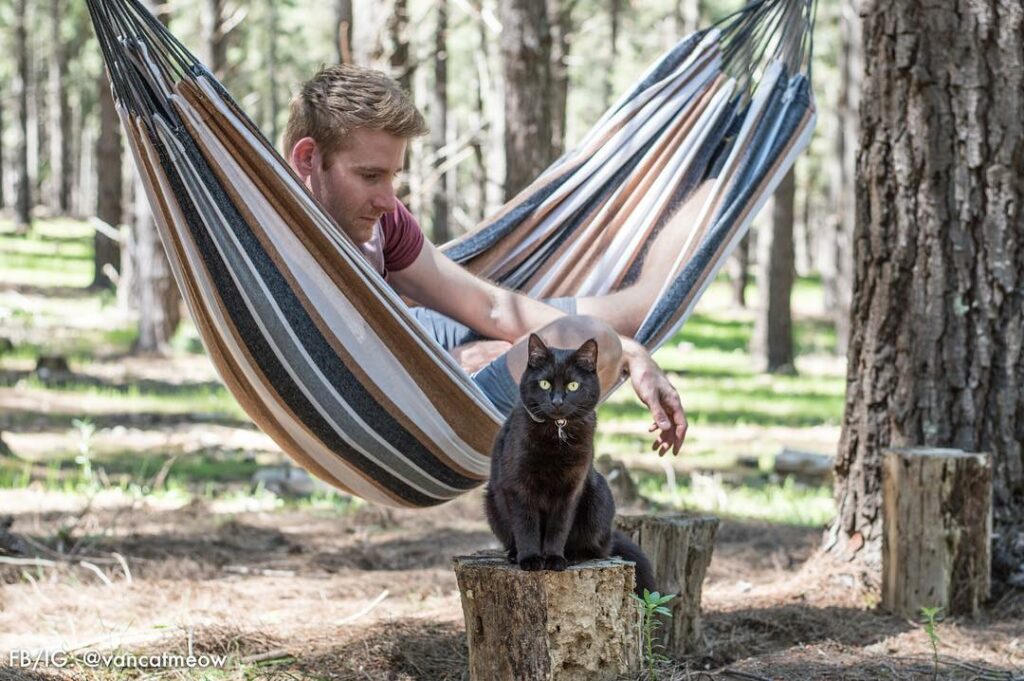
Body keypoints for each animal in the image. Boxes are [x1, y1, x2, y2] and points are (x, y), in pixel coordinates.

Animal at [481, 333, 655, 593]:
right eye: (544, 384)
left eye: (573, 385)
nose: (557, 401)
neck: (557, 430)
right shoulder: (519, 487)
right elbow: (526, 526)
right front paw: (531, 559)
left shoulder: (570, 490)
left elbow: (558, 527)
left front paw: (554, 559)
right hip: (492, 500)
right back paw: (514, 554)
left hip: (598, 496)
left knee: (597, 549)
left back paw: (572, 556)